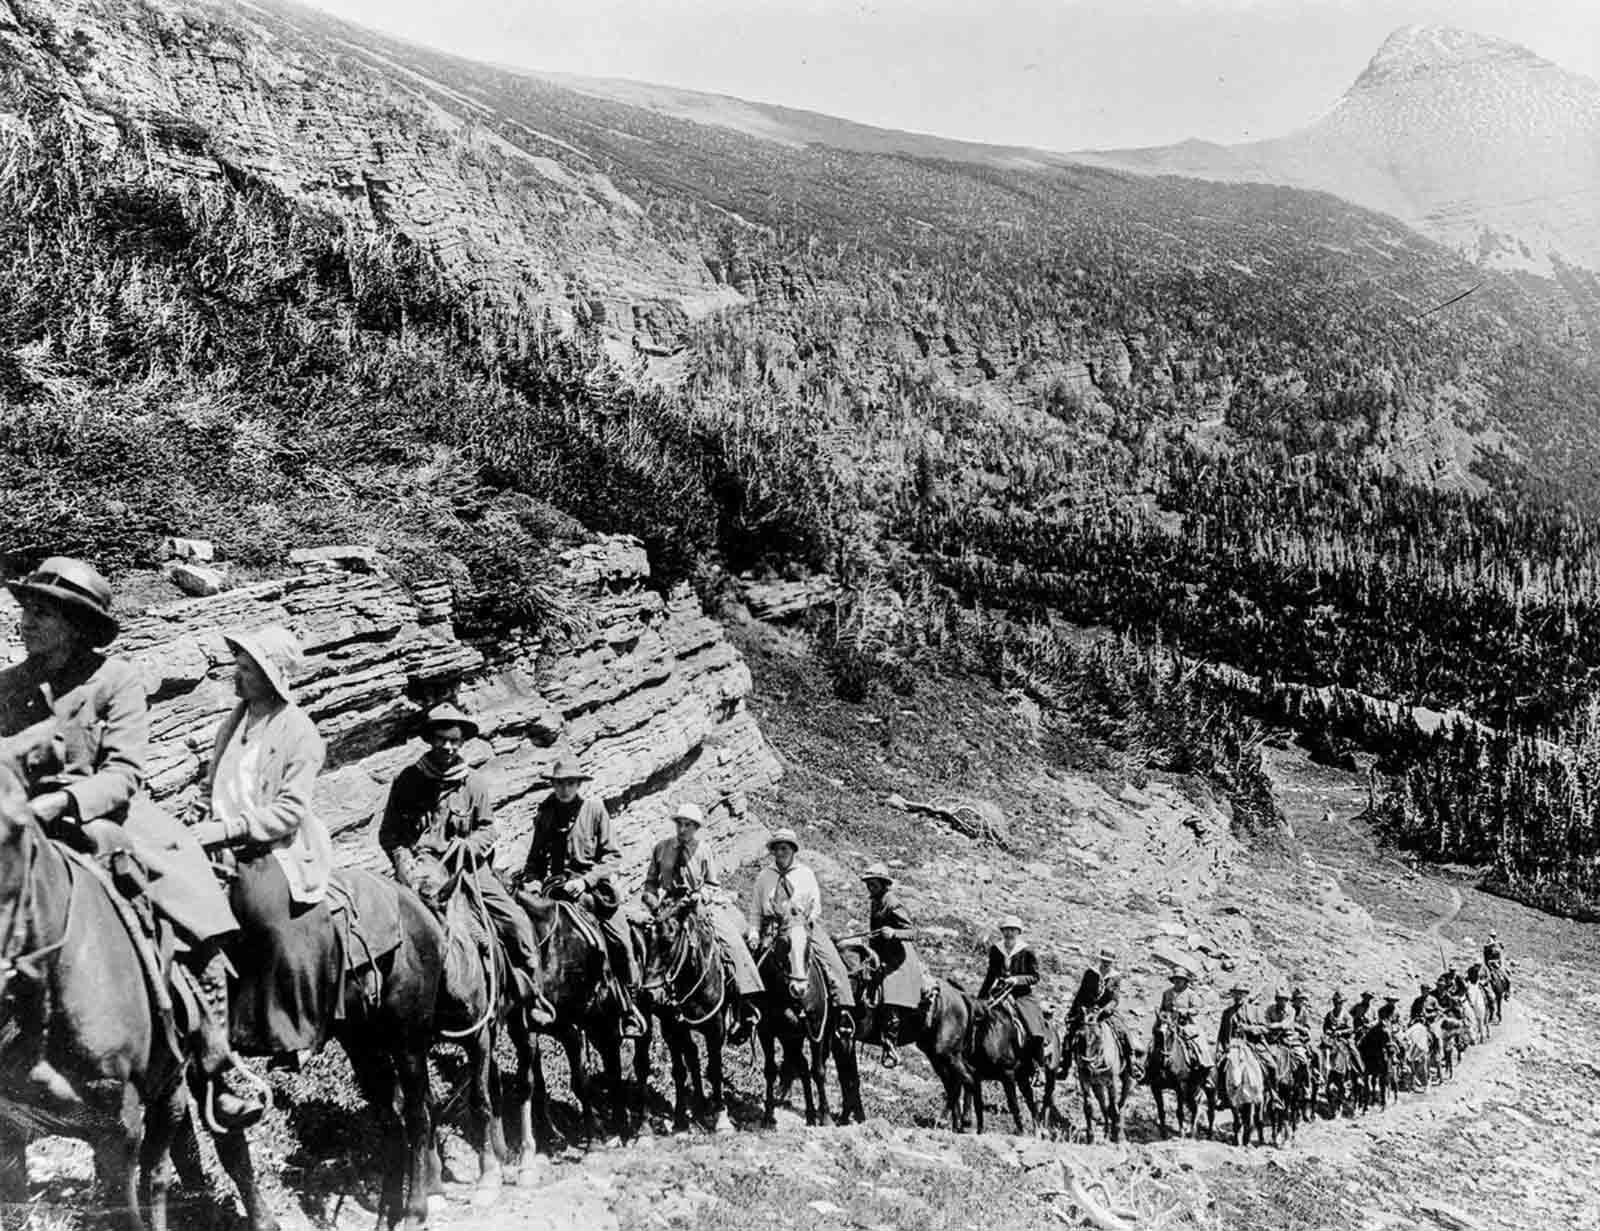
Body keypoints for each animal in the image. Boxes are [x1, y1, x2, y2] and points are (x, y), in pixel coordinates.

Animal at [636, 883, 736, 1133]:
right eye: (647, 938)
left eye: (670, 940)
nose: (650, 994)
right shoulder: (673, 1027)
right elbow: (679, 1070)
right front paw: (680, 1119)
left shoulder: (716, 1027)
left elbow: (715, 1068)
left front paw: (721, 1116)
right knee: (691, 1055)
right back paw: (699, 1106)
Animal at [748, 915, 851, 1126]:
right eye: (783, 942)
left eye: (809, 943)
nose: (799, 988)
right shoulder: (766, 1032)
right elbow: (770, 1070)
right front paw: (768, 1115)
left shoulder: (816, 1030)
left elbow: (818, 1072)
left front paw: (826, 1117)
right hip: (790, 1039)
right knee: (801, 1067)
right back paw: (810, 1114)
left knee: (806, 1068)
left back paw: (815, 1114)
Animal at [1152, 1011, 1209, 1139]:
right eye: (1156, 1032)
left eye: (1172, 1033)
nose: (1164, 1060)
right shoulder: (1155, 1087)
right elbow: (1161, 1111)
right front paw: (1163, 1133)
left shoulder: (1180, 1088)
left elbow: (1180, 1112)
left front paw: (1181, 1133)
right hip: (1191, 1090)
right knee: (1193, 1107)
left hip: (1197, 1088)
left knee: (1197, 1108)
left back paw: (1192, 1132)